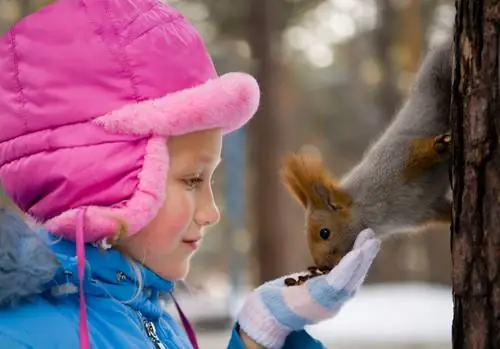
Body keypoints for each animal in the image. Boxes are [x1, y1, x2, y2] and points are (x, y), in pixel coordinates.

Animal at [282, 38, 454, 270]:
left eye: (324, 233)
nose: (322, 267)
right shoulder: (424, 211)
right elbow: (444, 211)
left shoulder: (397, 159)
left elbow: (418, 152)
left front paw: (439, 147)